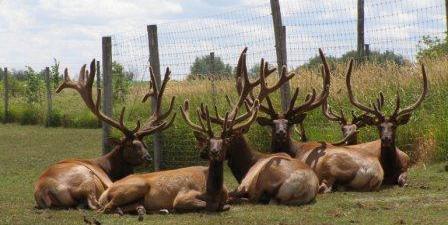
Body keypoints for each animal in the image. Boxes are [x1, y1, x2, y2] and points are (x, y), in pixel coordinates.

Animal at [33, 60, 176, 209]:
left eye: (145, 144)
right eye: (130, 145)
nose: (148, 158)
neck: (109, 168)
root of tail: (45, 190)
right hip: (86, 177)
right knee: (98, 203)